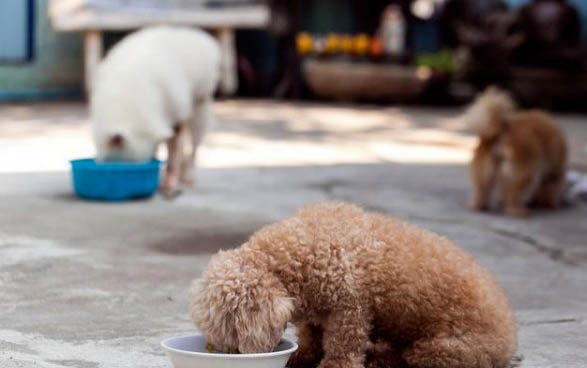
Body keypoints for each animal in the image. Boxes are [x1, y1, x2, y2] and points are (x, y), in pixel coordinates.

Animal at [92, 26, 220, 196]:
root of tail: (205, 40)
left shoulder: (176, 116)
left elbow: (173, 154)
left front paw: (169, 184)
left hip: (200, 104)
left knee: (194, 146)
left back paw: (188, 176)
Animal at [191, 203, 516, 366]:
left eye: (232, 334)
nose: (222, 353)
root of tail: (509, 337)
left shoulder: (349, 308)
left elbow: (342, 347)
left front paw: (333, 365)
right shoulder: (316, 313)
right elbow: (310, 338)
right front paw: (300, 355)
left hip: (444, 348)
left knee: (409, 358)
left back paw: (379, 359)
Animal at [466, 87, 568, 217]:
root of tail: (501, 133)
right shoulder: (554, 173)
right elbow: (551, 188)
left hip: (484, 176)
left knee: (481, 194)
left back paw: (481, 205)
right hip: (526, 175)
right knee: (512, 197)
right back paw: (518, 211)